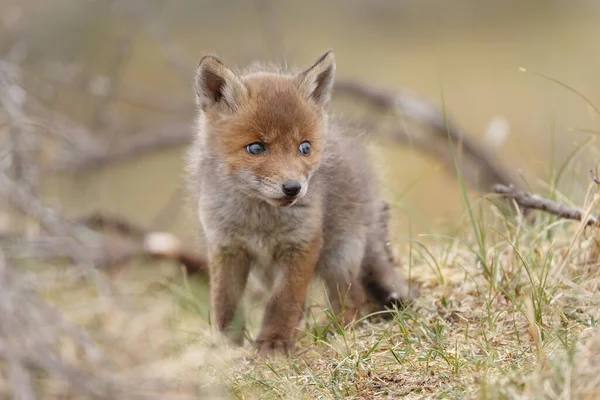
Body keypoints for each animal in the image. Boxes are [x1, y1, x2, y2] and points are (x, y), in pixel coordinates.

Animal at [185, 50, 414, 356]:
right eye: (256, 148)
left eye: (304, 147)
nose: (293, 188)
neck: (259, 220)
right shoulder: (226, 247)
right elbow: (225, 303)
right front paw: (226, 348)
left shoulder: (302, 244)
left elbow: (283, 301)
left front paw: (273, 343)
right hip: (266, 272)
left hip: (340, 257)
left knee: (352, 298)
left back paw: (336, 331)